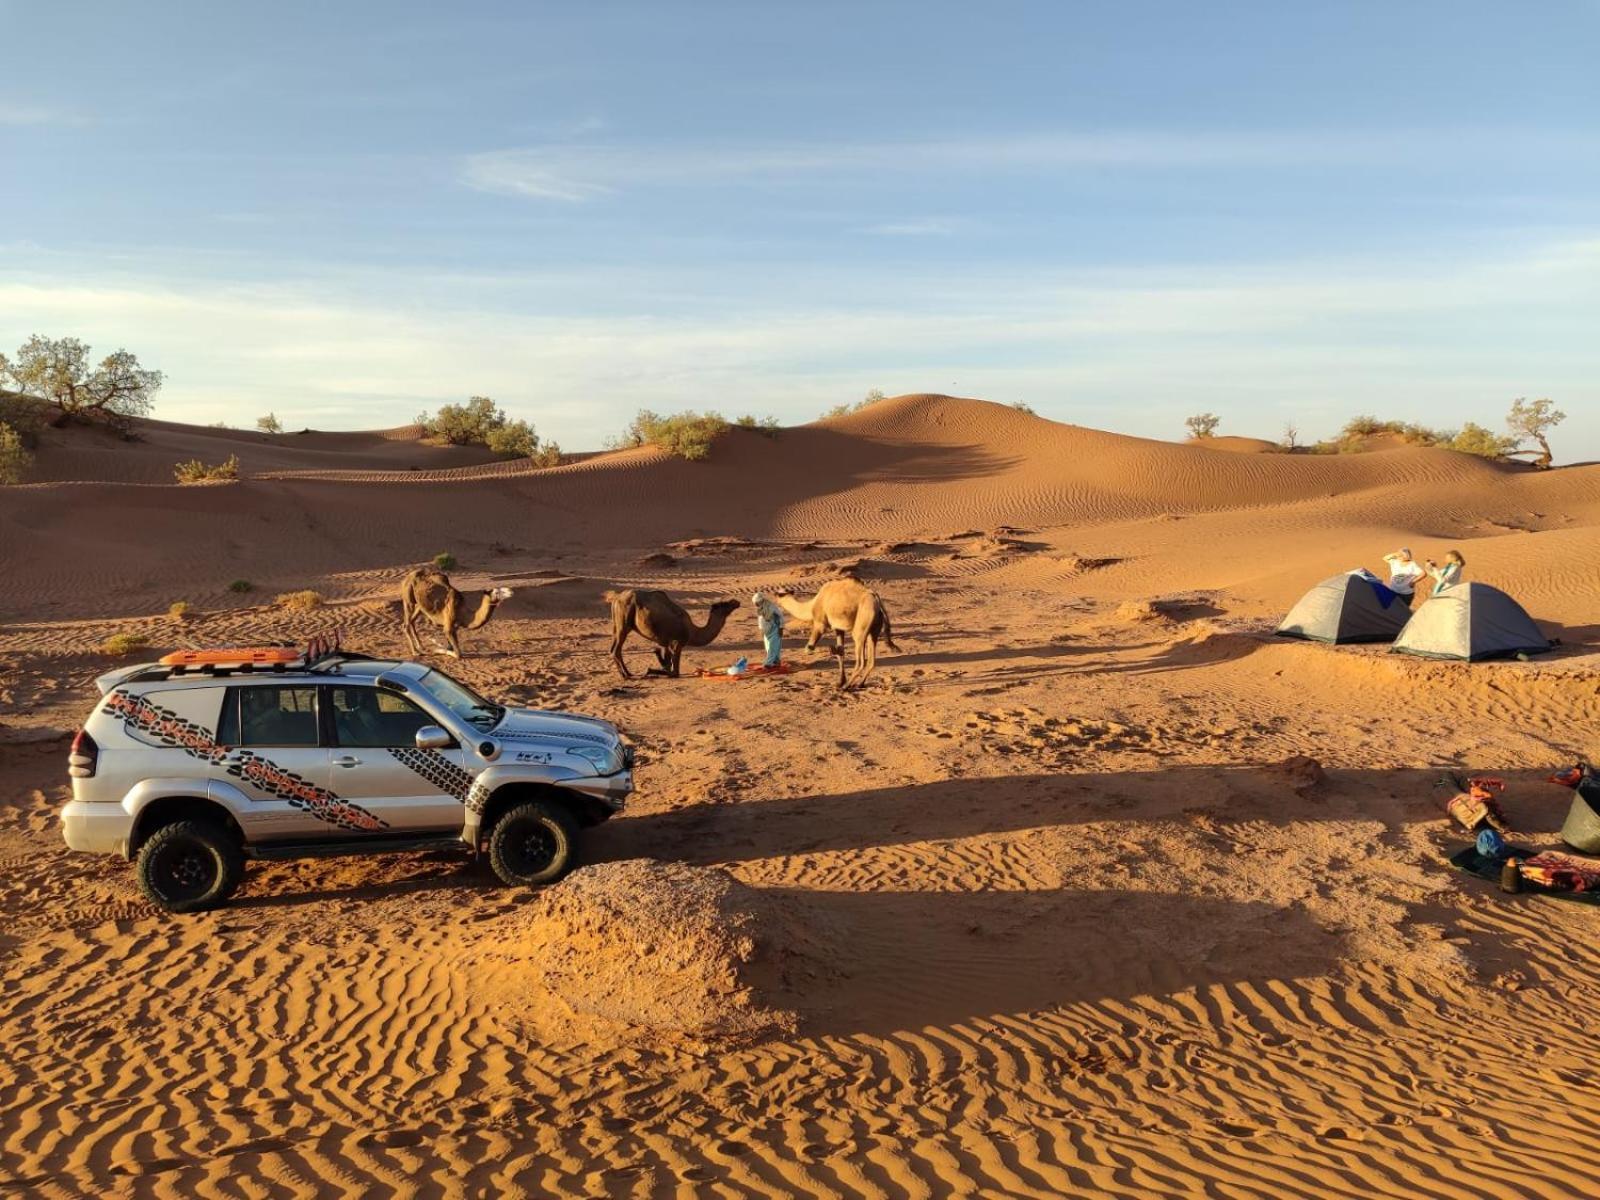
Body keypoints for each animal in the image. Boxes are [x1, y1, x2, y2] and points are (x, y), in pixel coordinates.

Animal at [604, 588, 742, 681]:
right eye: (724, 604)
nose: (736, 601)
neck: (693, 632)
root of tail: (616, 598)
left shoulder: (667, 643)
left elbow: (667, 663)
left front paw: (656, 663)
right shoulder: (678, 643)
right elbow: (675, 672)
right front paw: (649, 670)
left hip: (617, 624)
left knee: (613, 648)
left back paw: (628, 674)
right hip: (624, 621)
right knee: (616, 649)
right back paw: (626, 675)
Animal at [774, 579, 902, 691]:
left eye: (779, 594)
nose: (774, 595)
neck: (812, 605)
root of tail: (877, 600)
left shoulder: (820, 623)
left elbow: (810, 647)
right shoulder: (839, 629)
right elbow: (840, 653)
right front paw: (840, 681)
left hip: (861, 626)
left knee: (861, 661)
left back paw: (847, 686)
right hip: (874, 629)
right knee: (871, 660)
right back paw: (859, 684)